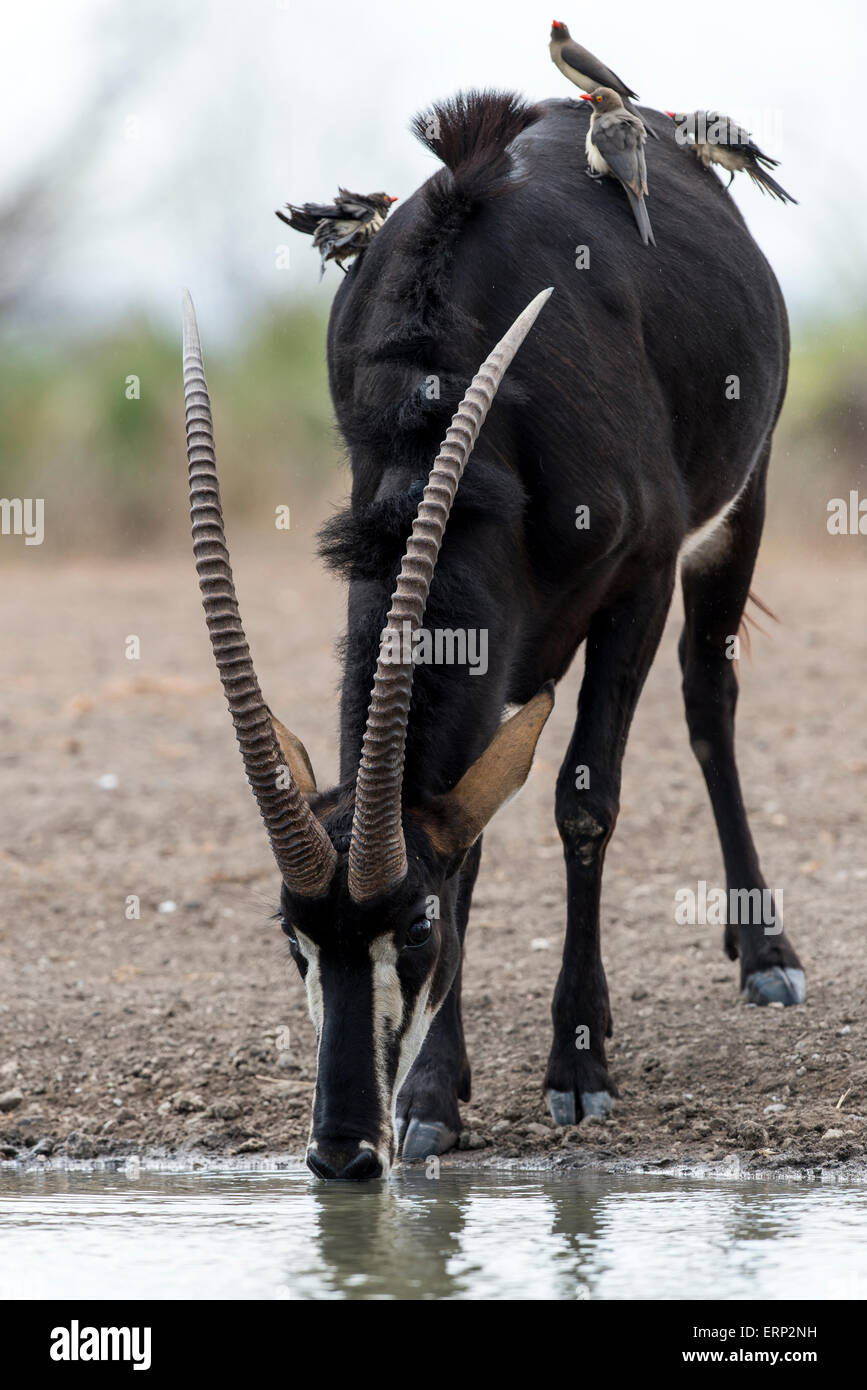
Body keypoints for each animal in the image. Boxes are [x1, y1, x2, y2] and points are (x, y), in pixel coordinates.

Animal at [180, 86, 805, 1178]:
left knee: (708, 698)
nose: (343, 1149)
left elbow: (584, 803)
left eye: (412, 928)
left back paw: (763, 953)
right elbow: (467, 835)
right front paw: (435, 1096)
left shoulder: (638, 582)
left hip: (742, 502)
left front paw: (578, 1067)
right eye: (293, 933)